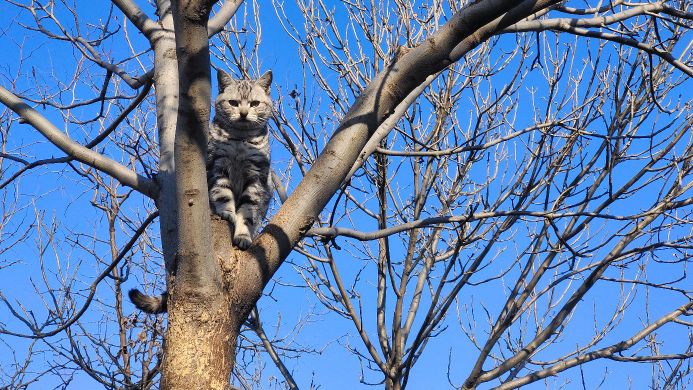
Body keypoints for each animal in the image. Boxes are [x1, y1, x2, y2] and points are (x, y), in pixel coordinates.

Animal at [130, 69, 274, 314]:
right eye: (234, 103)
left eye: (255, 103)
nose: (244, 113)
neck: (240, 140)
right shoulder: (218, 167)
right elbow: (224, 195)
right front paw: (227, 212)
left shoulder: (256, 178)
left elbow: (247, 212)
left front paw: (243, 234)